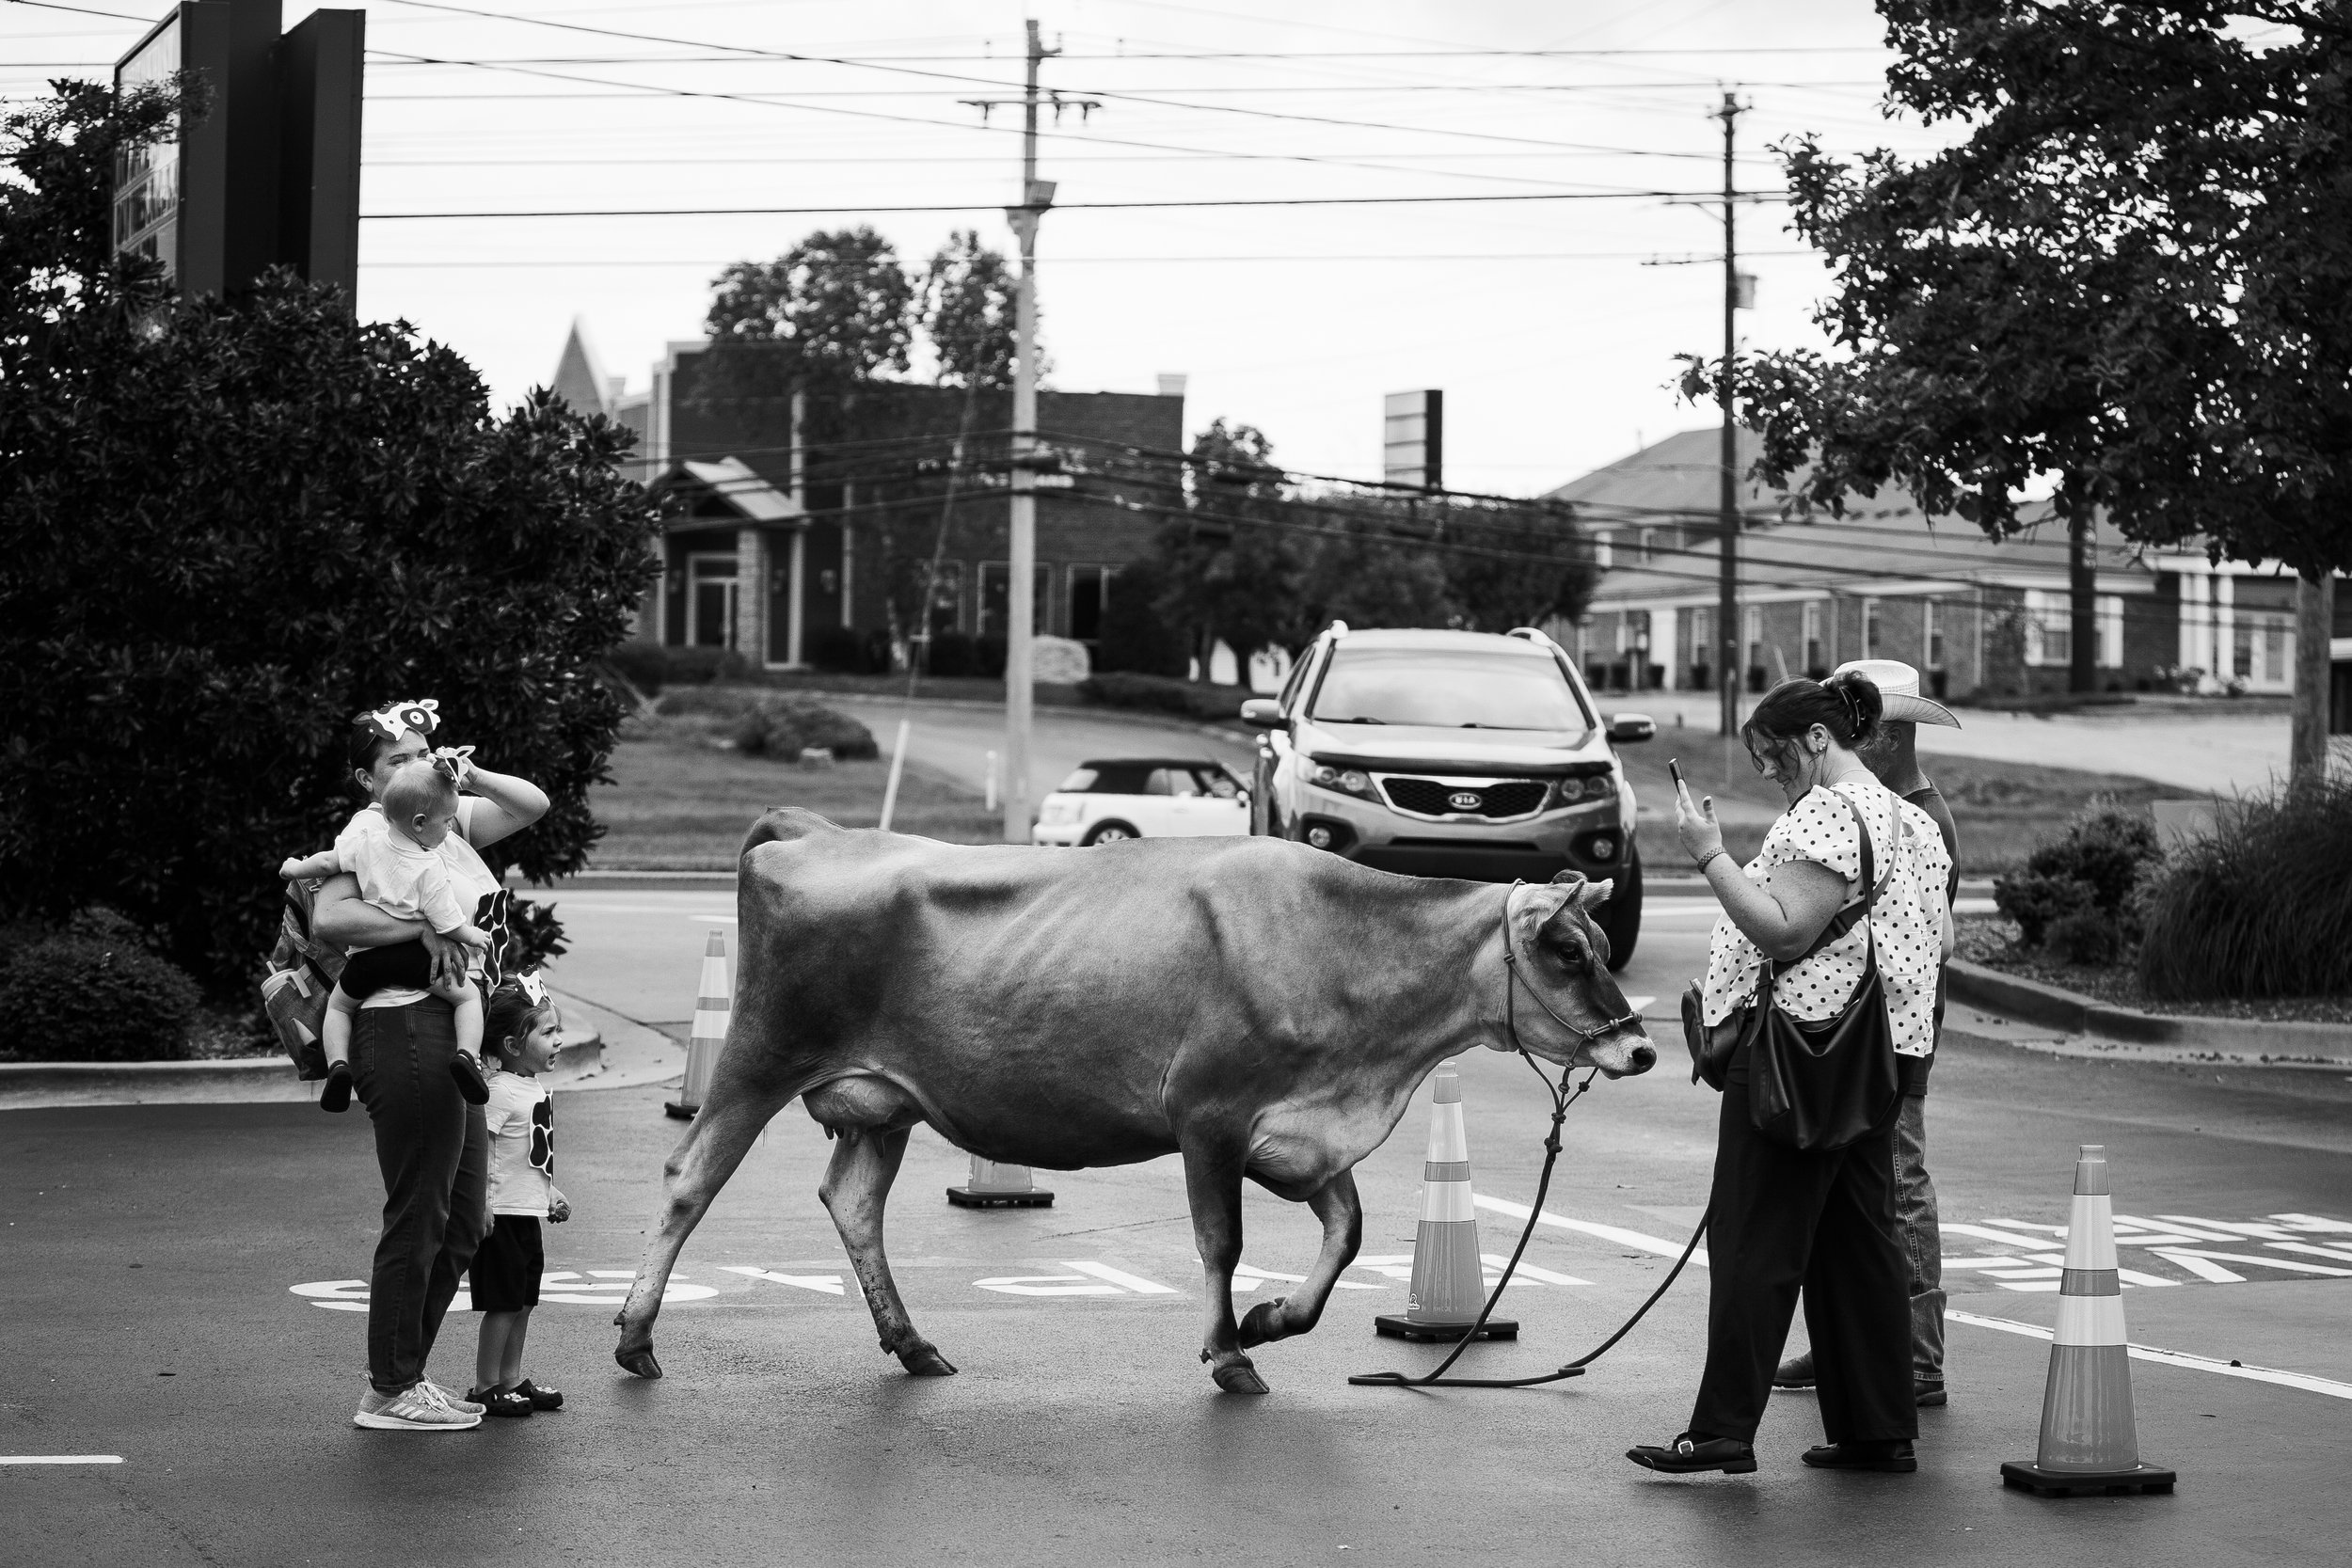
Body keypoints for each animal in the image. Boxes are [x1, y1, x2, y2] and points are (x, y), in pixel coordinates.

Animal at [614, 808, 1655, 1394]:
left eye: (1605, 945)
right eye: (1568, 950)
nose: (1640, 1045)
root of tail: (814, 832)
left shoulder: (1302, 1137)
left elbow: (1349, 1235)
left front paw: (1272, 1318)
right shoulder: (1209, 1116)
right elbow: (1221, 1242)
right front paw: (1230, 1353)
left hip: (883, 1102)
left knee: (852, 1202)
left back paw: (911, 1344)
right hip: (760, 1056)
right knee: (687, 1179)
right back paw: (634, 1336)